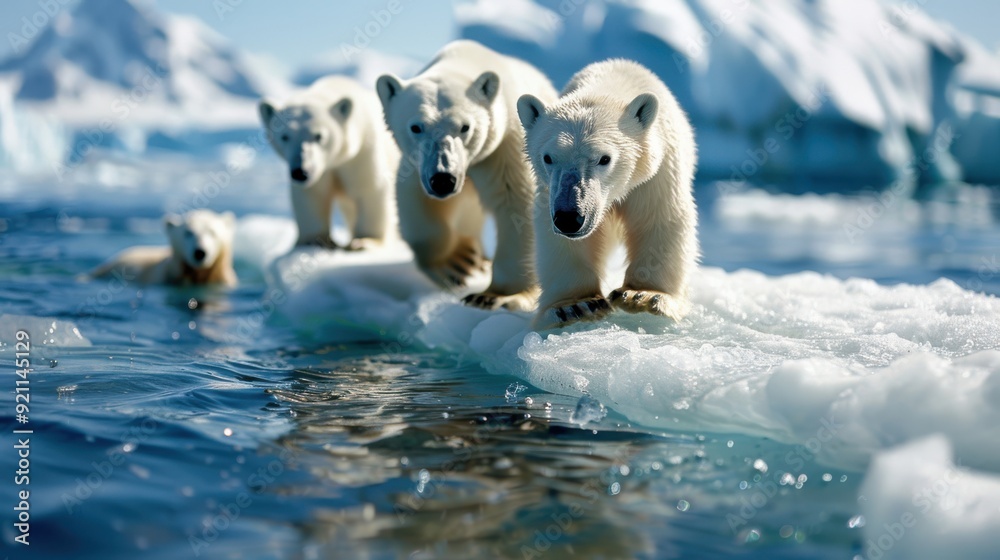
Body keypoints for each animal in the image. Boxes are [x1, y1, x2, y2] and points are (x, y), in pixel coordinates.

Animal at [259, 75, 399, 250]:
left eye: (318, 136)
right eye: (285, 136)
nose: (300, 171)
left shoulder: (362, 153)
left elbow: (370, 189)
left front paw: (364, 240)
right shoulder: (320, 173)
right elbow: (312, 195)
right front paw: (315, 240)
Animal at [376, 40, 558, 311]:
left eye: (465, 127)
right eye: (416, 127)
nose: (443, 180)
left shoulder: (506, 148)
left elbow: (517, 206)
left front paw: (496, 295)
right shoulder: (417, 164)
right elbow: (416, 200)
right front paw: (457, 264)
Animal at [517, 59, 699, 329]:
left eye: (605, 159)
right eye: (548, 157)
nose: (569, 218)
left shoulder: (656, 176)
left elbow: (660, 219)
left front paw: (644, 295)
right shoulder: (550, 192)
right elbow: (559, 240)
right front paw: (574, 306)